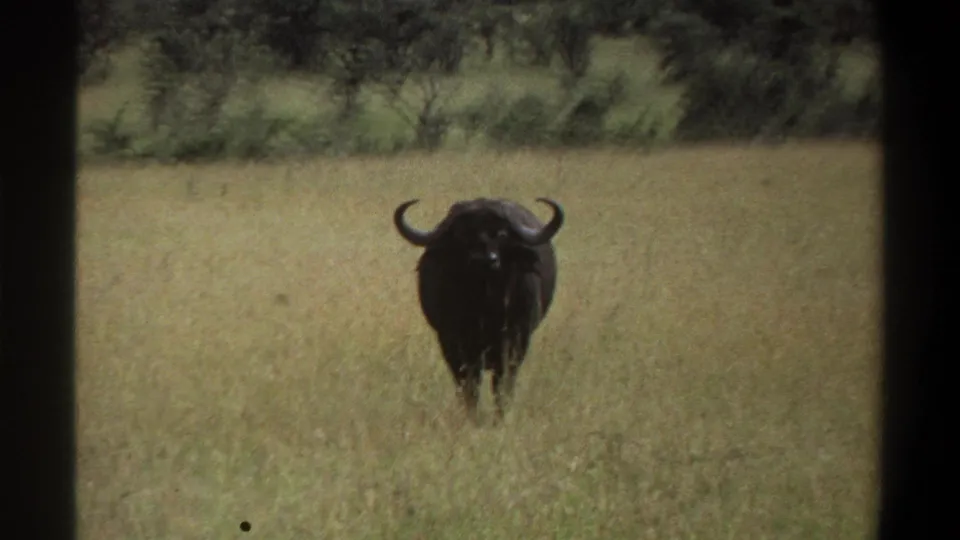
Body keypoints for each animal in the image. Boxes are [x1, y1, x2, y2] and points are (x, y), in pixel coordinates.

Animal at [393, 197, 564, 421]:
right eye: (461, 233)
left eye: (502, 234)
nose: (483, 259)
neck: (485, 304)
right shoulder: (452, 343)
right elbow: (469, 385)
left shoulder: (516, 341)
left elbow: (502, 386)